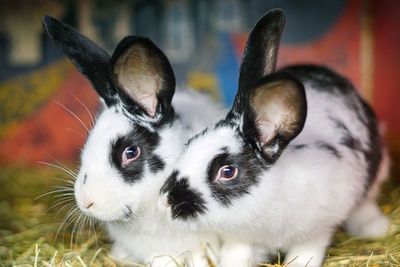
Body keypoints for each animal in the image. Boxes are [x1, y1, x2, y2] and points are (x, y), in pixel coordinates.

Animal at [158, 8, 390, 267]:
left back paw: (376, 228)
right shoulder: (242, 240)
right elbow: (237, 255)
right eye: (189, 144)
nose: (166, 201)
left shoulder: (317, 231)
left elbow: (306, 253)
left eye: (227, 172)